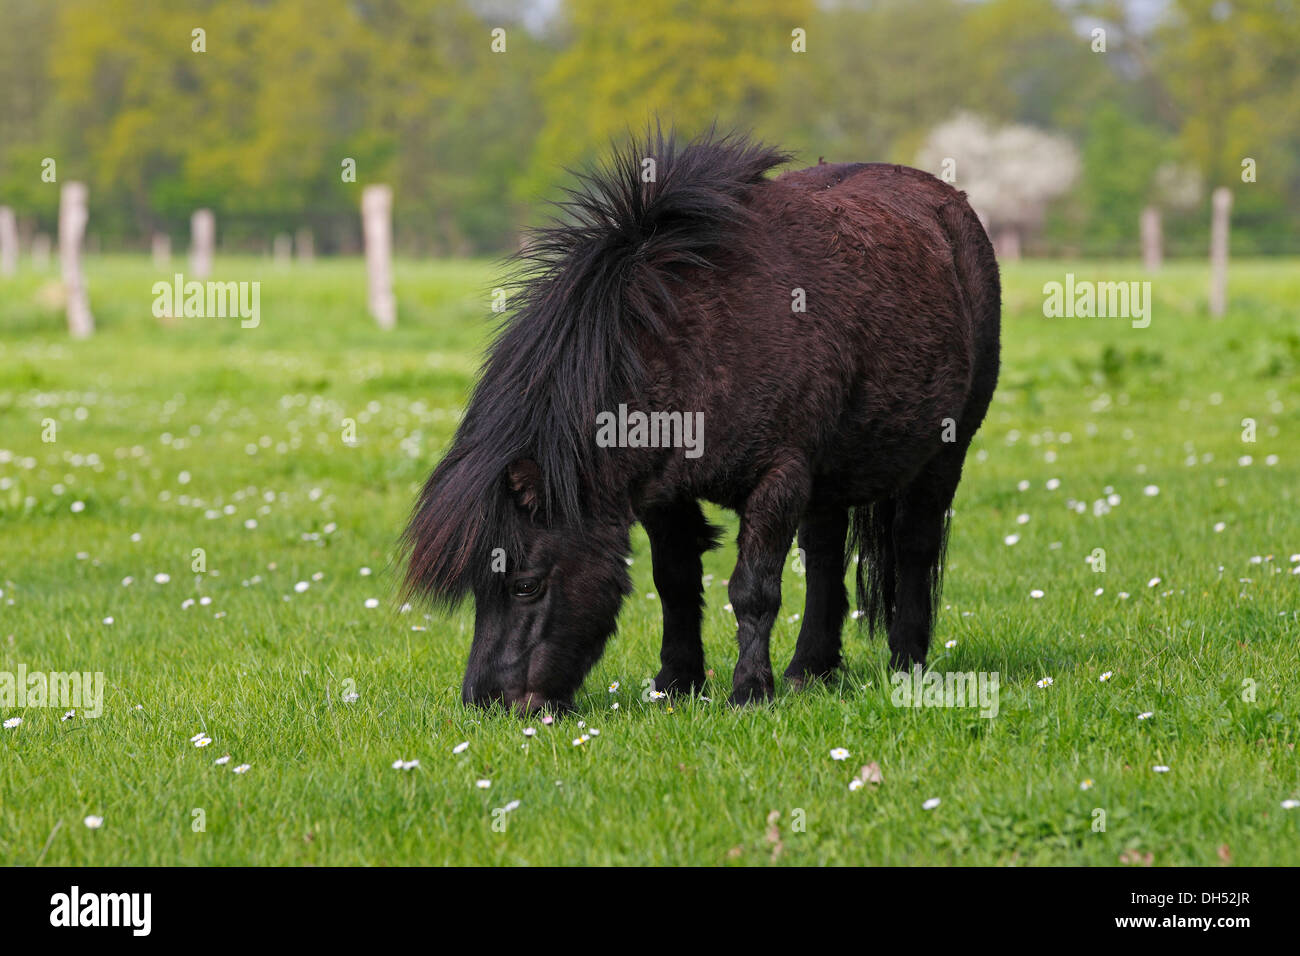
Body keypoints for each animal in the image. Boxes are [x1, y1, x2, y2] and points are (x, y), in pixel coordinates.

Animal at [403, 128, 1001, 714]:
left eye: (525, 585)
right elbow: (675, 580)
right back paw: (810, 670)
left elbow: (753, 590)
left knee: (915, 546)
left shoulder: (779, 478)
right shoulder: (664, 493)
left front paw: (750, 692)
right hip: (831, 478)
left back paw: (907, 665)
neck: (698, 337)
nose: (486, 702)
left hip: (944, 454)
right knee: (826, 556)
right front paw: (677, 683)